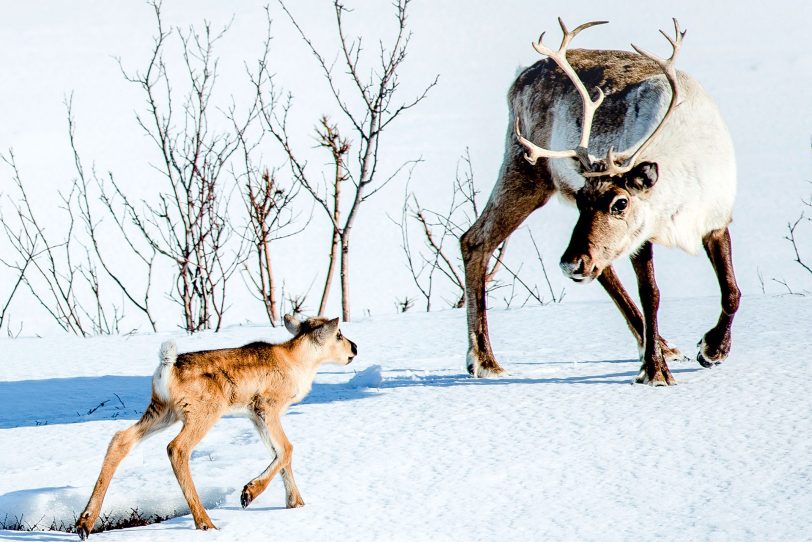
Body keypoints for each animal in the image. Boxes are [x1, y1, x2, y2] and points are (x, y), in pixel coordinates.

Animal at [75, 314, 356, 540]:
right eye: (339, 334)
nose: (354, 347)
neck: (297, 363)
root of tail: (166, 367)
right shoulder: (268, 406)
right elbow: (287, 448)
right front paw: (248, 493)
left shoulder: (254, 415)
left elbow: (279, 453)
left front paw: (296, 503)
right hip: (203, 413)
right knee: (176, 448)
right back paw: (205, 523)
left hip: (162, 411)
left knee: (121, 438)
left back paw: (84, 523)